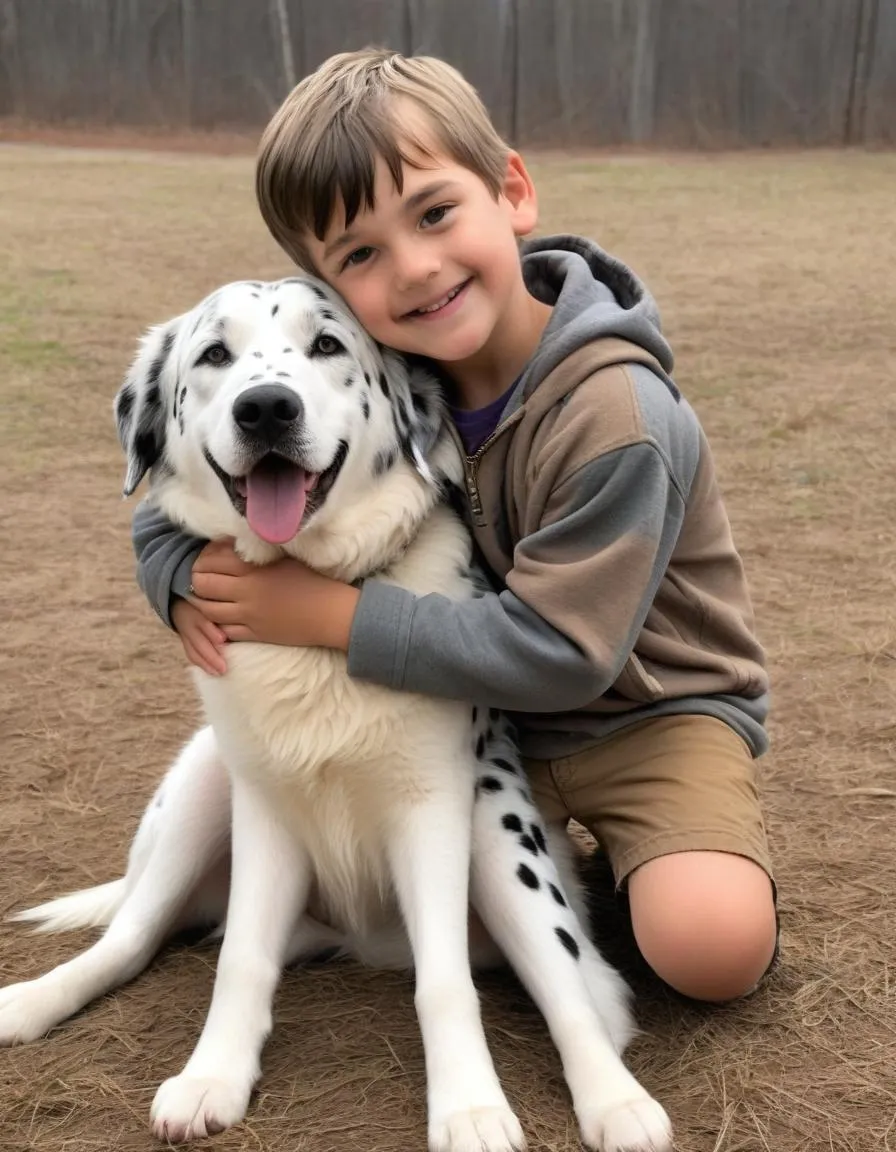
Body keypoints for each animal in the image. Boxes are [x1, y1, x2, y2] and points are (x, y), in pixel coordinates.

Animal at [0, 278, 672, 1152]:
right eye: (214, 355)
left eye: (326, 345)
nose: (266, 409)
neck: (317, 610)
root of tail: (362, 940)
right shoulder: (263, 809)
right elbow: (241, 958)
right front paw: (213, 1076)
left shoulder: (434, 807)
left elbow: (447, 981)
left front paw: (470, 1108)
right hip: (203, 786)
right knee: (131, 938)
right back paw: (30, 1000)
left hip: (503, 833)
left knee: (570, 987)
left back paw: (615, 1099)